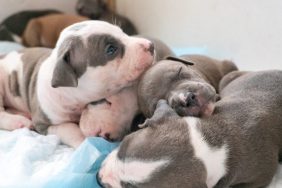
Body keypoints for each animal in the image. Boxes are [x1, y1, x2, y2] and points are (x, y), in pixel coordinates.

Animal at [0, 20, 154, 147]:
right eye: (111, 49)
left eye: (123, 33)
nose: (150, 45)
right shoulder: (42, 123)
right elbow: (69, 128)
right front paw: (82, 142)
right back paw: (18, 121)